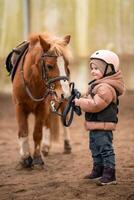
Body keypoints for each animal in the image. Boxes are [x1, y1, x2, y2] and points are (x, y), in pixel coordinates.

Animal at [11, 33, 72, 169]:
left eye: (67, 65)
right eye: (49, 66)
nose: (65, 94)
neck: (32, 80)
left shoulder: (42, 106)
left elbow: (37, 133)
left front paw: (37, 158)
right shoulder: (19, 106)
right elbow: (23, 131)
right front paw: (25, 158)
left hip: (60, 103)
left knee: (63, 119)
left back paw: (67, 145)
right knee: (48, 122)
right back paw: (46, 148)